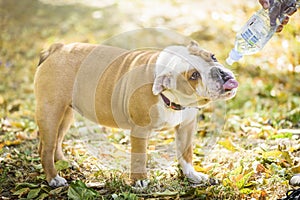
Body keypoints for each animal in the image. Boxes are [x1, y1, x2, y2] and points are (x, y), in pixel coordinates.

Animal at [34, 40, 238, 188]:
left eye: (213, 56)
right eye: (194, 76)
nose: (220, 73)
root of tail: (58, 48)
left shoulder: (186, 127)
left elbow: (186, 153)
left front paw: (192, 175)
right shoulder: (140, 130)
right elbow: (140, 156)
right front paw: (139, 180)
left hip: (66, 113)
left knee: (57, 140)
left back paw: (63, 163)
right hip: (51, 111)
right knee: (46, 148)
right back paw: (54, 178)